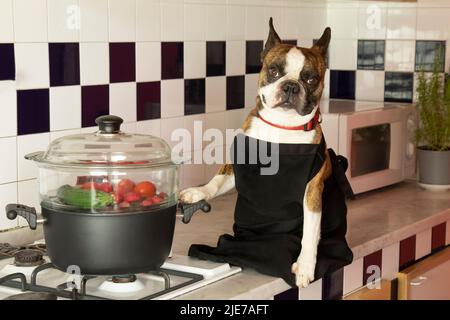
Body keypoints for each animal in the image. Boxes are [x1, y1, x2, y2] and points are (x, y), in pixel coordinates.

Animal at [179, 17, 338, 288]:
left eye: (310, 79)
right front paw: (198, 192)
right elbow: (216, 180)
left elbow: (309, 232)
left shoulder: (312, 190)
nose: (291, 86)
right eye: (274, 71)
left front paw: (305, 266)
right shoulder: (236, 167)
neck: (282, 126)